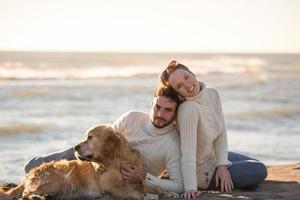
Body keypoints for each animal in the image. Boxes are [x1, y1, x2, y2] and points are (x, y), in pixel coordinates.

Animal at [0, 124, 178, 199]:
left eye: (90, 137)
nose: (75, 146)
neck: (118, 160)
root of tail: (29, 175)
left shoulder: (136, 179)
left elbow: (153, 186)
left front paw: (168, 192)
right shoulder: (110, 185)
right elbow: (134, 193)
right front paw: (147, 197)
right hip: (57, 180)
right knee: (25, 194)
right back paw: (37, 197)